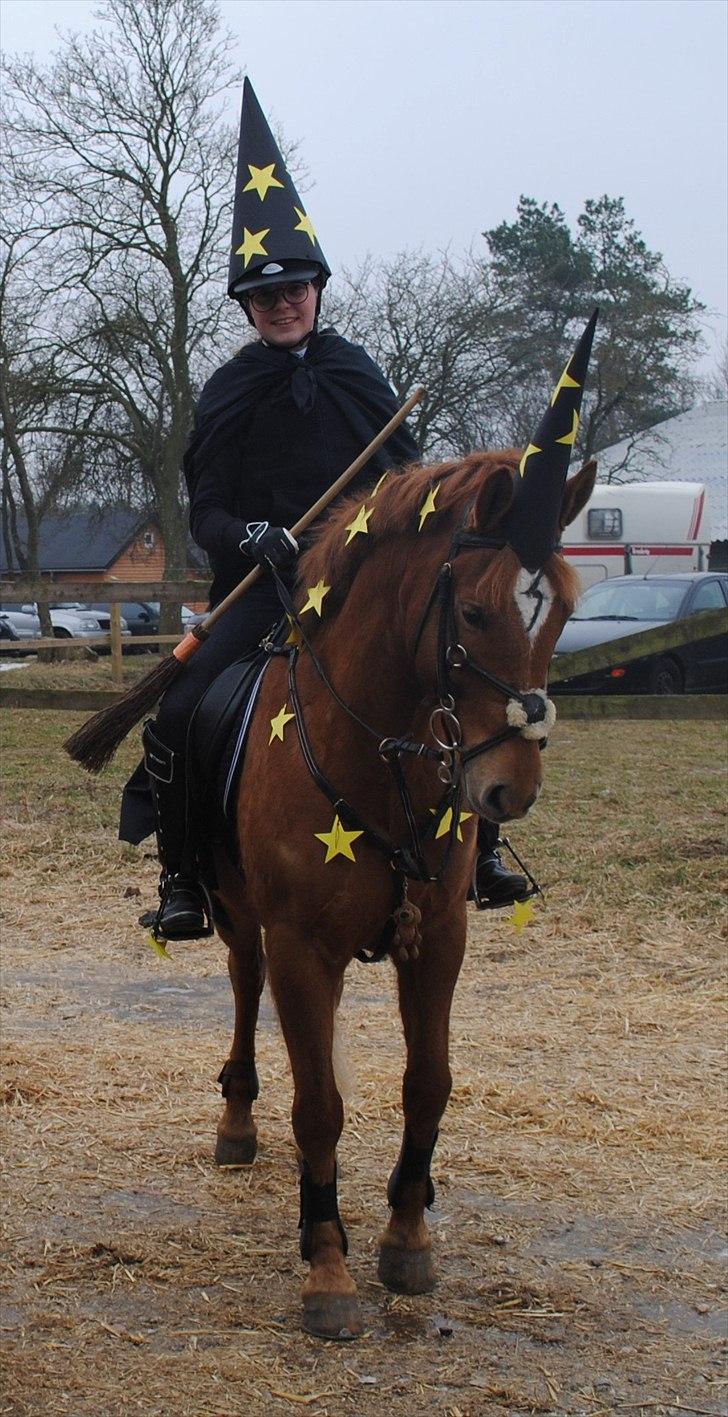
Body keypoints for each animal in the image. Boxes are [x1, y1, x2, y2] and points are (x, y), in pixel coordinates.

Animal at [206, 450, 592, 1337]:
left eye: (561, 613)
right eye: (476, 612)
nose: (511, 789)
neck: (375, 754)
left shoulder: (439, 937)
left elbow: (428, 1085)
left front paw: (406, 1237)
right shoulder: (298, 945)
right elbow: (318, 1105)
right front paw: (327, 1269)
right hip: (239, 917)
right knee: (244, 986)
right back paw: (237, 1118)